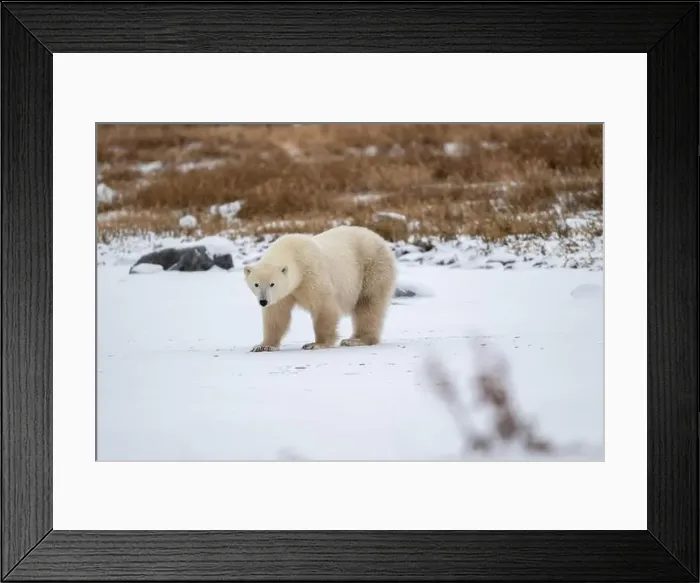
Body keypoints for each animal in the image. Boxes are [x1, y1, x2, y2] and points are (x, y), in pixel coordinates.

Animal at [243, 225, 397, 352]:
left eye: (272, 284)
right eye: (256, 284)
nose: (263, 301)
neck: (292, 252)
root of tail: (380, 239)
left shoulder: (310, 273)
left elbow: (324, 306)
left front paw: (316, 344)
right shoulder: (284, 294)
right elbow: (276, 315)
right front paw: (263, 346)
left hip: (372, 268)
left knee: (368, 304)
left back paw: (356, 340)